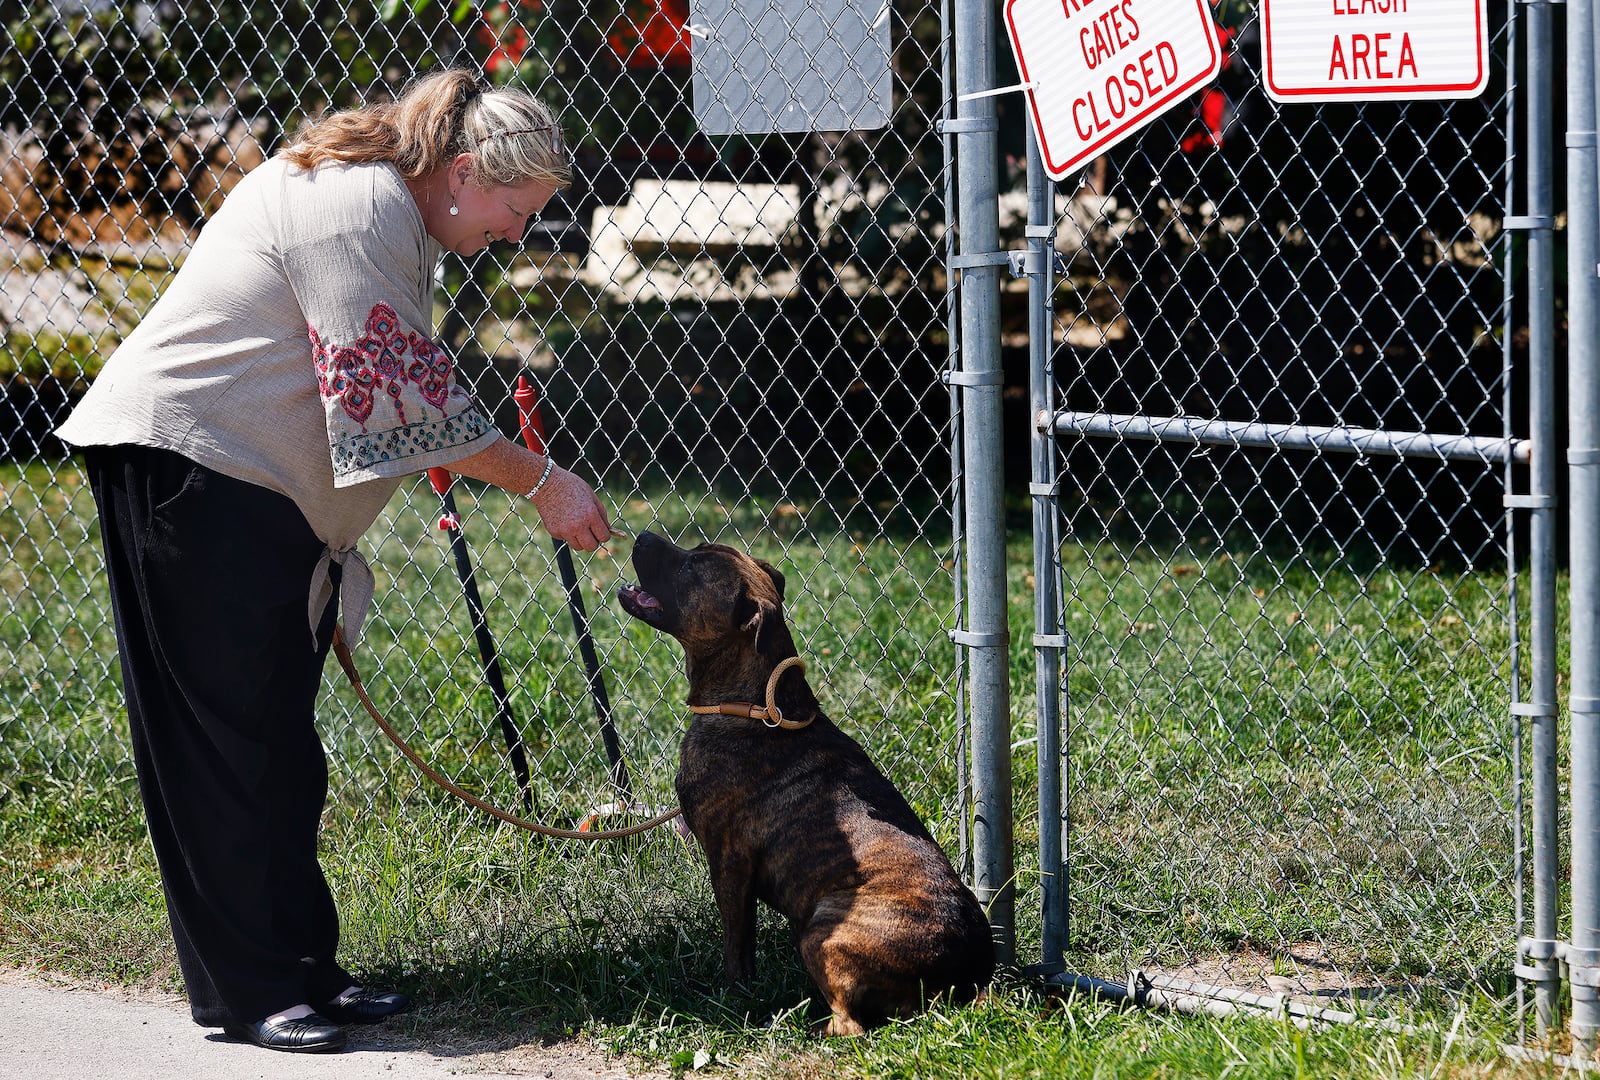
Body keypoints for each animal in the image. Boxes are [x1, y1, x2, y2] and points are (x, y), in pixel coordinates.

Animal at [617, 531, 992, 1036]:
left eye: (693, 566)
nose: (642, 536)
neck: (753, 705)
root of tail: (962, 977)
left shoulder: (729, 861)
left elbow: (737, 943)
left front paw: (732, 994)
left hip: (823, 927)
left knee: (850, 1025)